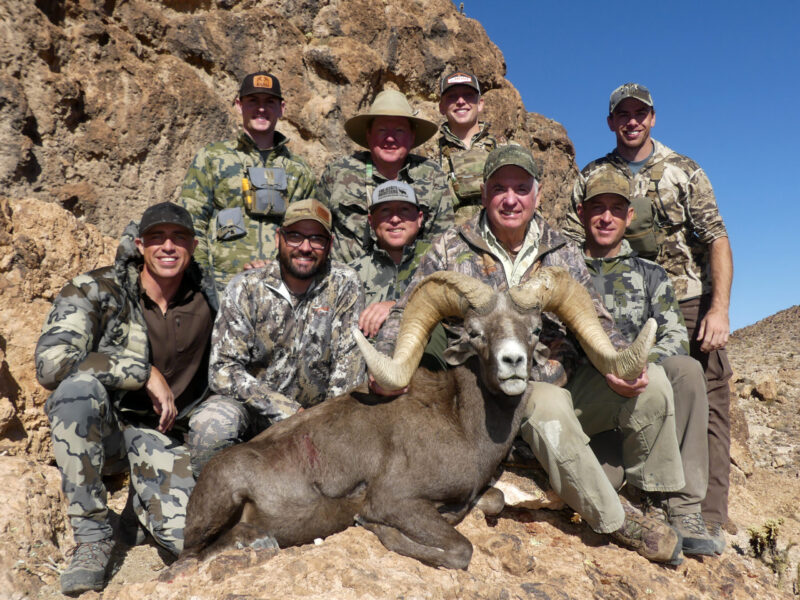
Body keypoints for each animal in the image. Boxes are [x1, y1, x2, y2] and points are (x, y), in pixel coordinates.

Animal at [181, 268, 656, 568]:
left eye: (536, 329)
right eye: (475, 333)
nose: (513, 363)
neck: (462, 425)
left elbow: (493, 502)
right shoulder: (398, 502)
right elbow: (461, 551)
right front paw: (373, 528)